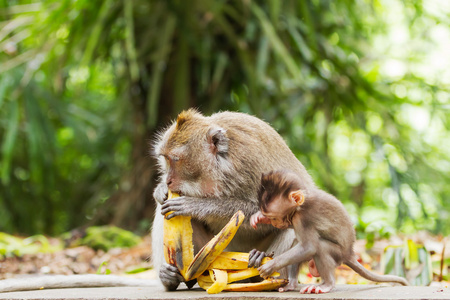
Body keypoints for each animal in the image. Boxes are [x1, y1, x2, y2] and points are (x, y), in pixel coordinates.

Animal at [151, 109, 316, 290]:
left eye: (175, 159)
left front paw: (194, 205)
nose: (168, 180)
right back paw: (171, 277)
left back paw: (265, 270)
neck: (221, 168)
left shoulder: (251, 161)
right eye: (166, 159)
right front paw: (160, 189)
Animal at [250, 170, 408, 294]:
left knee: (320, 247)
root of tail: (350, 254)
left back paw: (327, 284)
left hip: (337, 253)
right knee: (297, 243)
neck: (301, 204)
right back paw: (292, 284)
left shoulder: (302, 218)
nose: (274, 222)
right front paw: (260, 217)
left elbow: (309, 247)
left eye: (274, 217)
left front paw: (270, 265)